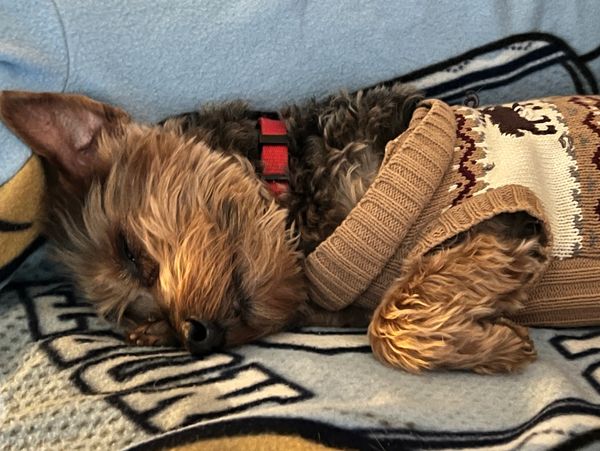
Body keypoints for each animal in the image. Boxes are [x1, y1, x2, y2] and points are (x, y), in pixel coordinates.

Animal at [0, 85, 572, 374]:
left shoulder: (498, 204)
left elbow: (390, 322)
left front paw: (500, 347)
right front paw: (495, 345)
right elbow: (386, 316)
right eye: (145, 325)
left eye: (130, 253)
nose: (195, 336)